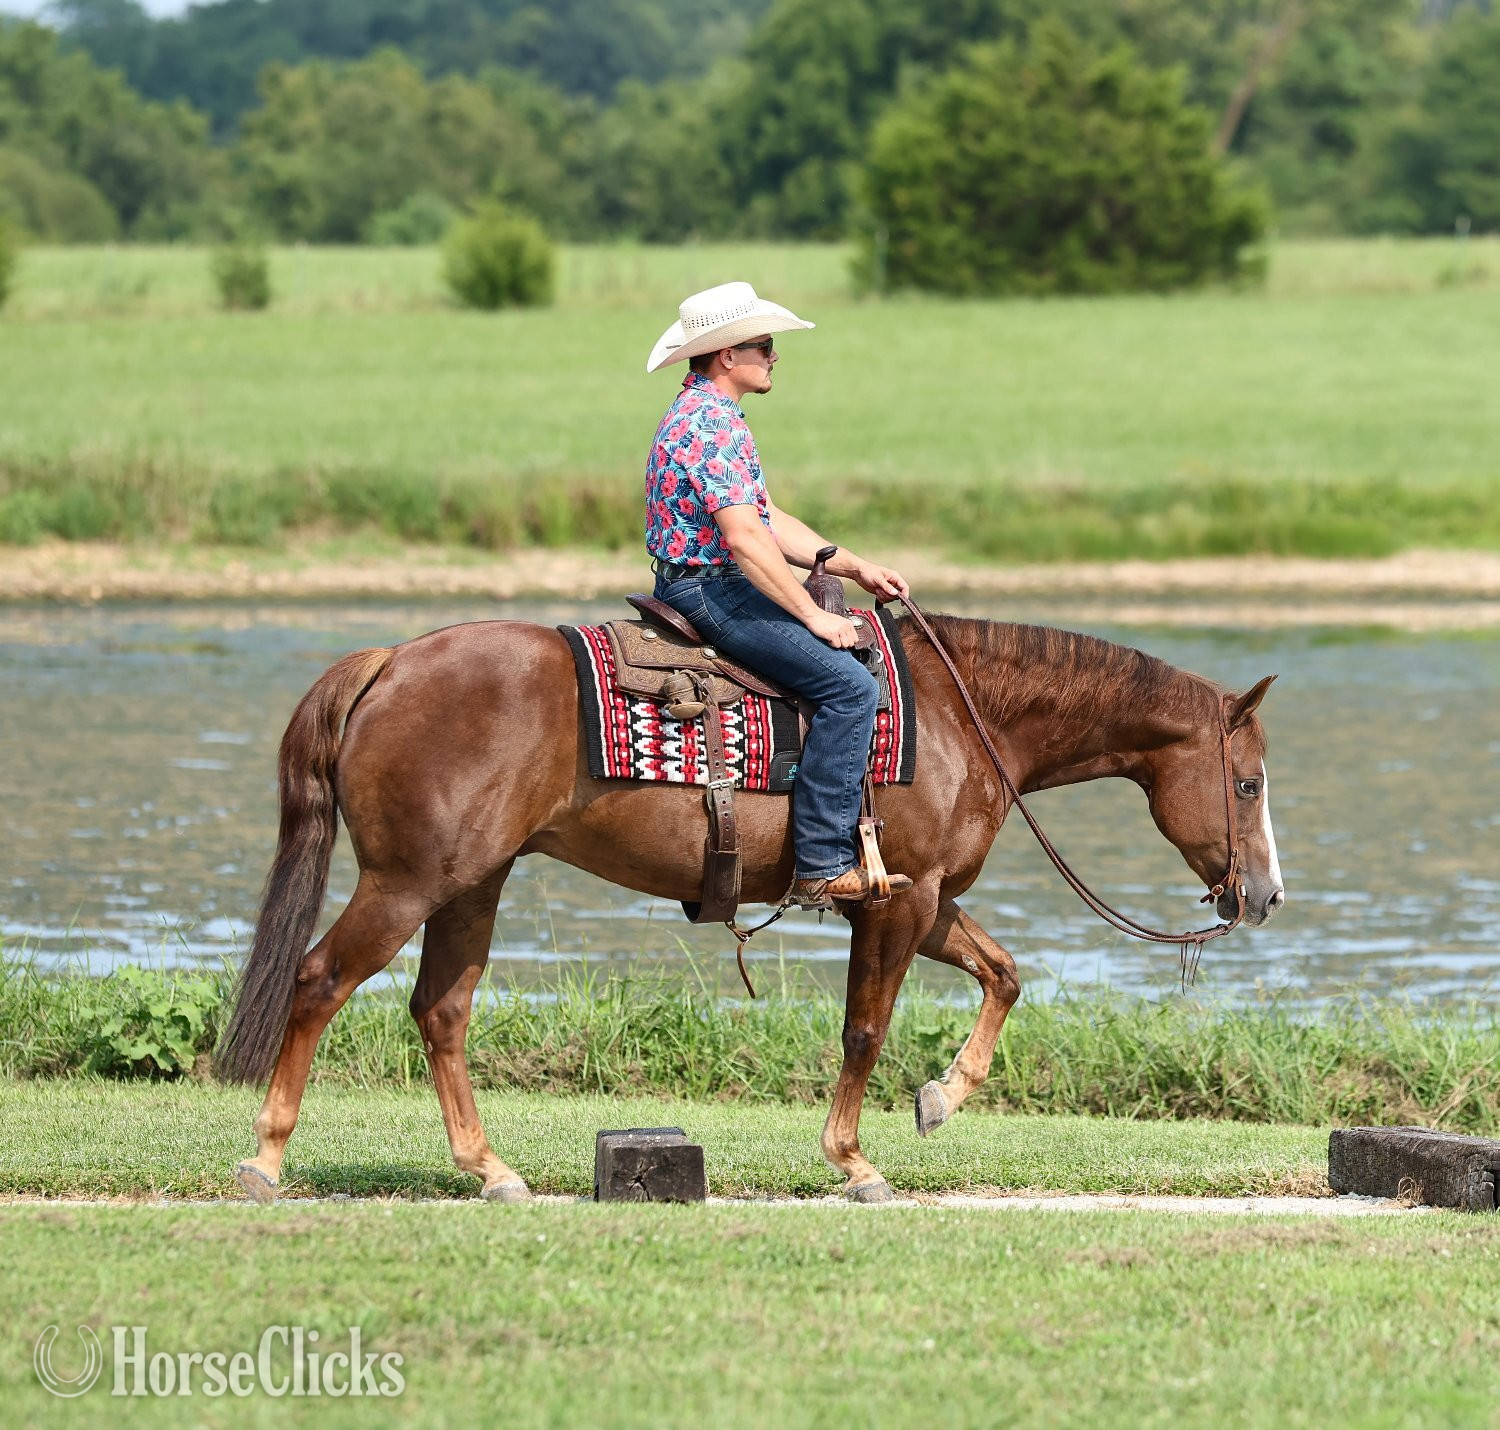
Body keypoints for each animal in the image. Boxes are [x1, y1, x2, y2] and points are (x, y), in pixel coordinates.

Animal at [217, 613, 1284, 1204]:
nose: (1267, 894)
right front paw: (854, 1162)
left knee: (441, 1011)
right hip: (406, 881)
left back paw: (492, 1170)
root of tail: (391, 660)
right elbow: (864, 1029)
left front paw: (942, 1097)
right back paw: (266, 1159)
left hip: (472, 882)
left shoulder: (925, 898)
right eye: (1247, 784)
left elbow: (1004, 974)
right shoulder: (895, 906)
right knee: (319, 980)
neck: (963, 714)